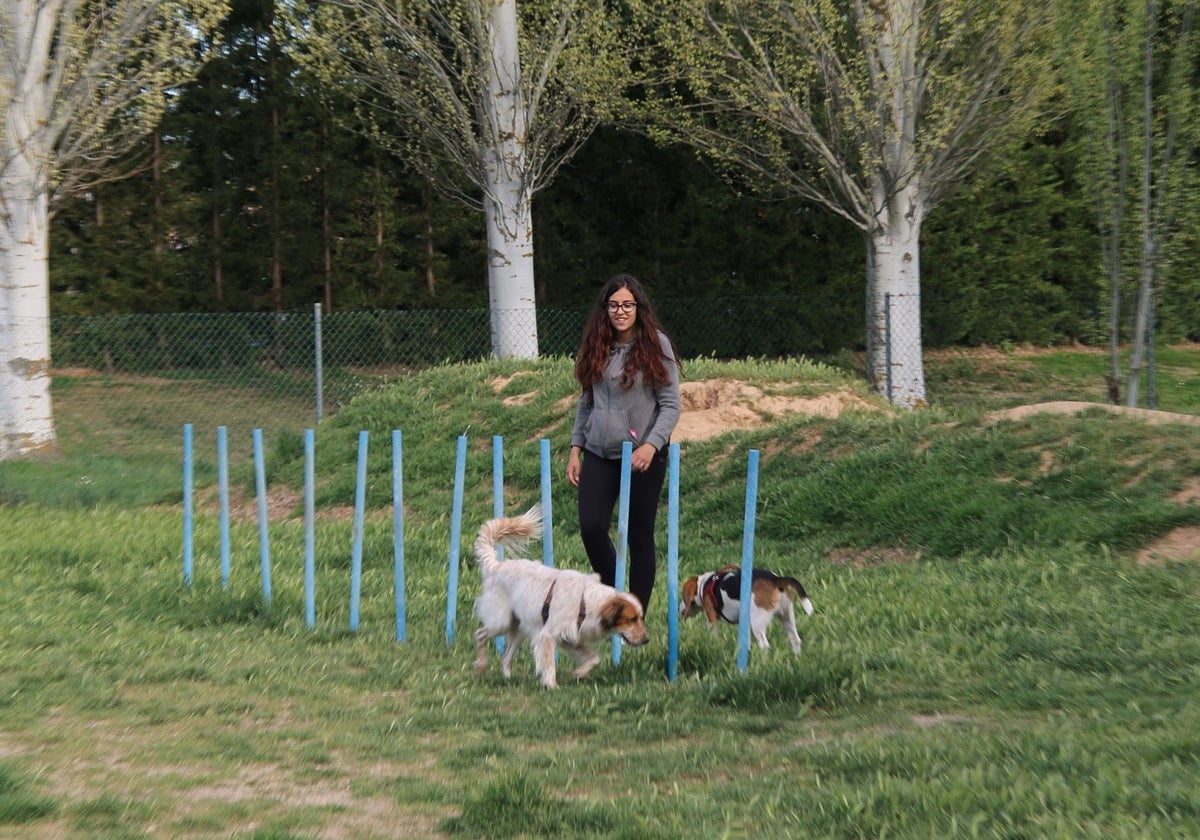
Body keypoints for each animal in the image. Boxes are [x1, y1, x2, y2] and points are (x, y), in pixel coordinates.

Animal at [472, 506, 652, 691]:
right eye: (632, 619)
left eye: (640, 618)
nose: (646, 640)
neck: (584, 603)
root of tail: (496, 566)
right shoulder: (549, 635)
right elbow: (550, 665)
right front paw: (552, 686)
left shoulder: (569, 639)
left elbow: (594, 658)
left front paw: (579, 673)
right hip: (501, 622)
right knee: (480, 634)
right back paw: (481, 665)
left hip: (520, 627)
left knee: (506, 656)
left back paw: (508, 677)